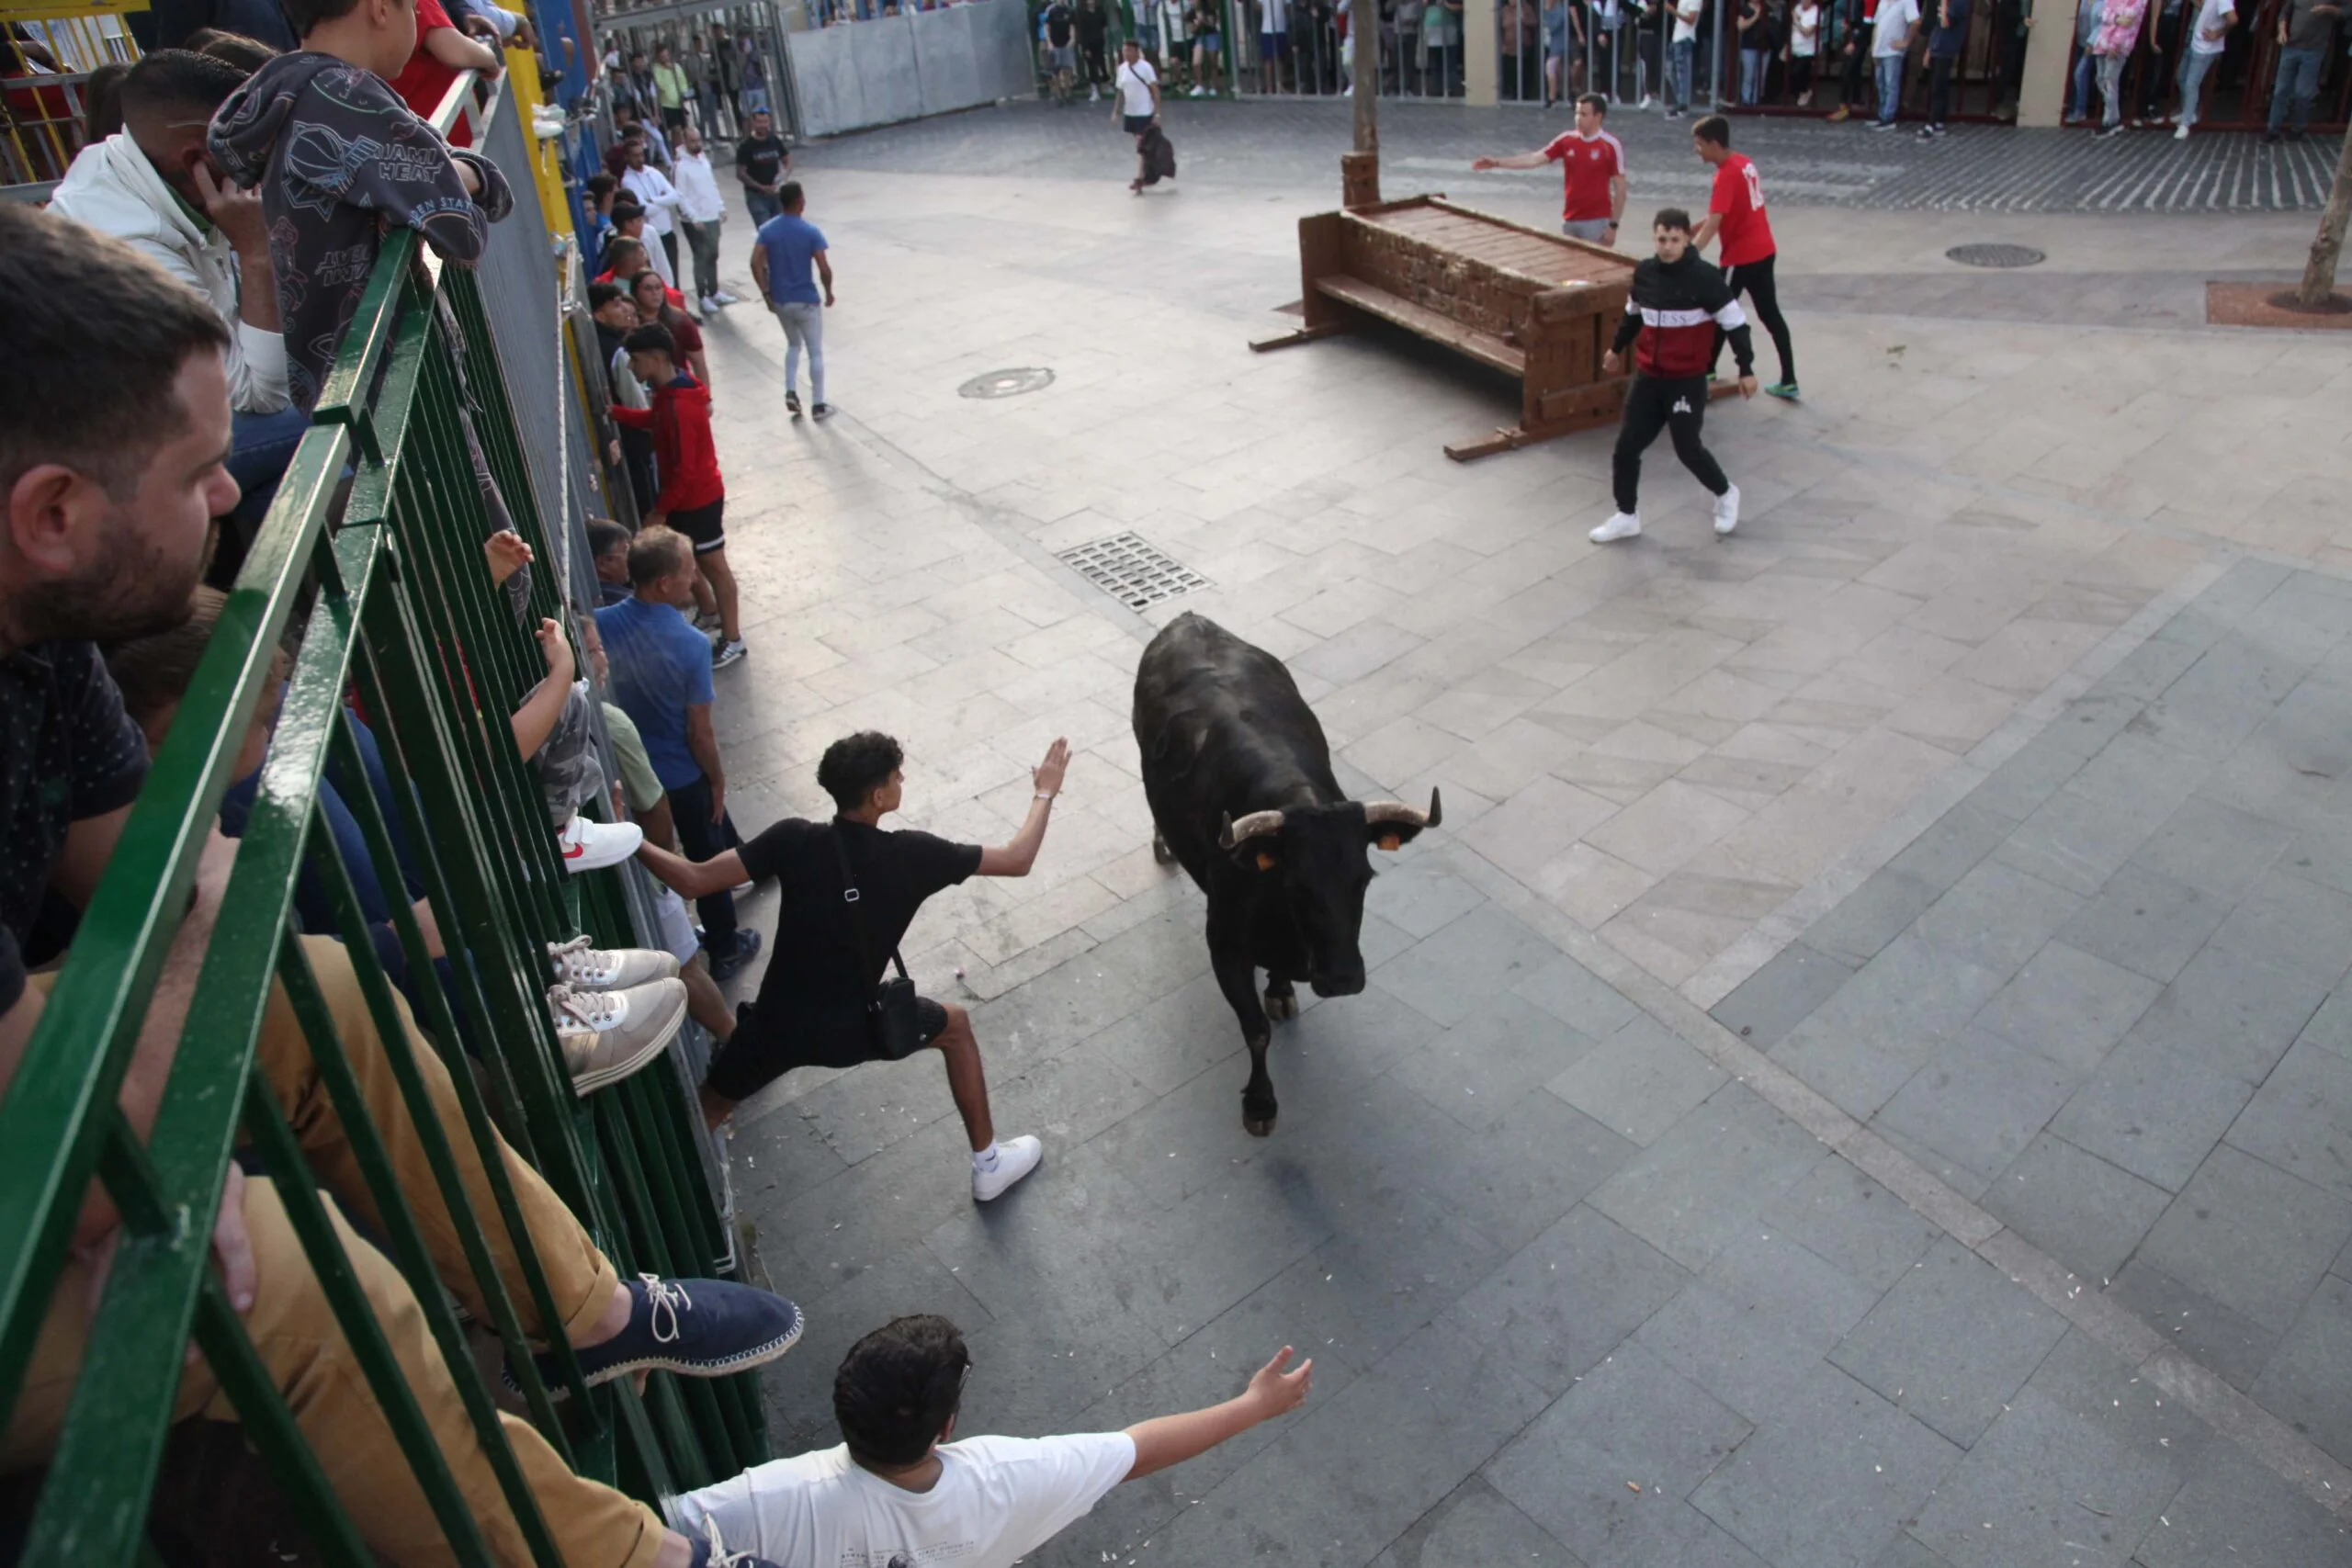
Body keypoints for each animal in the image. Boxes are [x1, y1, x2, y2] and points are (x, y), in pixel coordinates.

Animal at [1133, 611, 1439, 1142]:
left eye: (1365, 879)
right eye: (1295, 884)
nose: (1342, 979)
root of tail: (1188, 620)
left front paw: (1279, 991)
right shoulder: (1224, 945)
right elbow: (1255, 1030)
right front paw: (1259, 1105)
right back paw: (1162, 846)